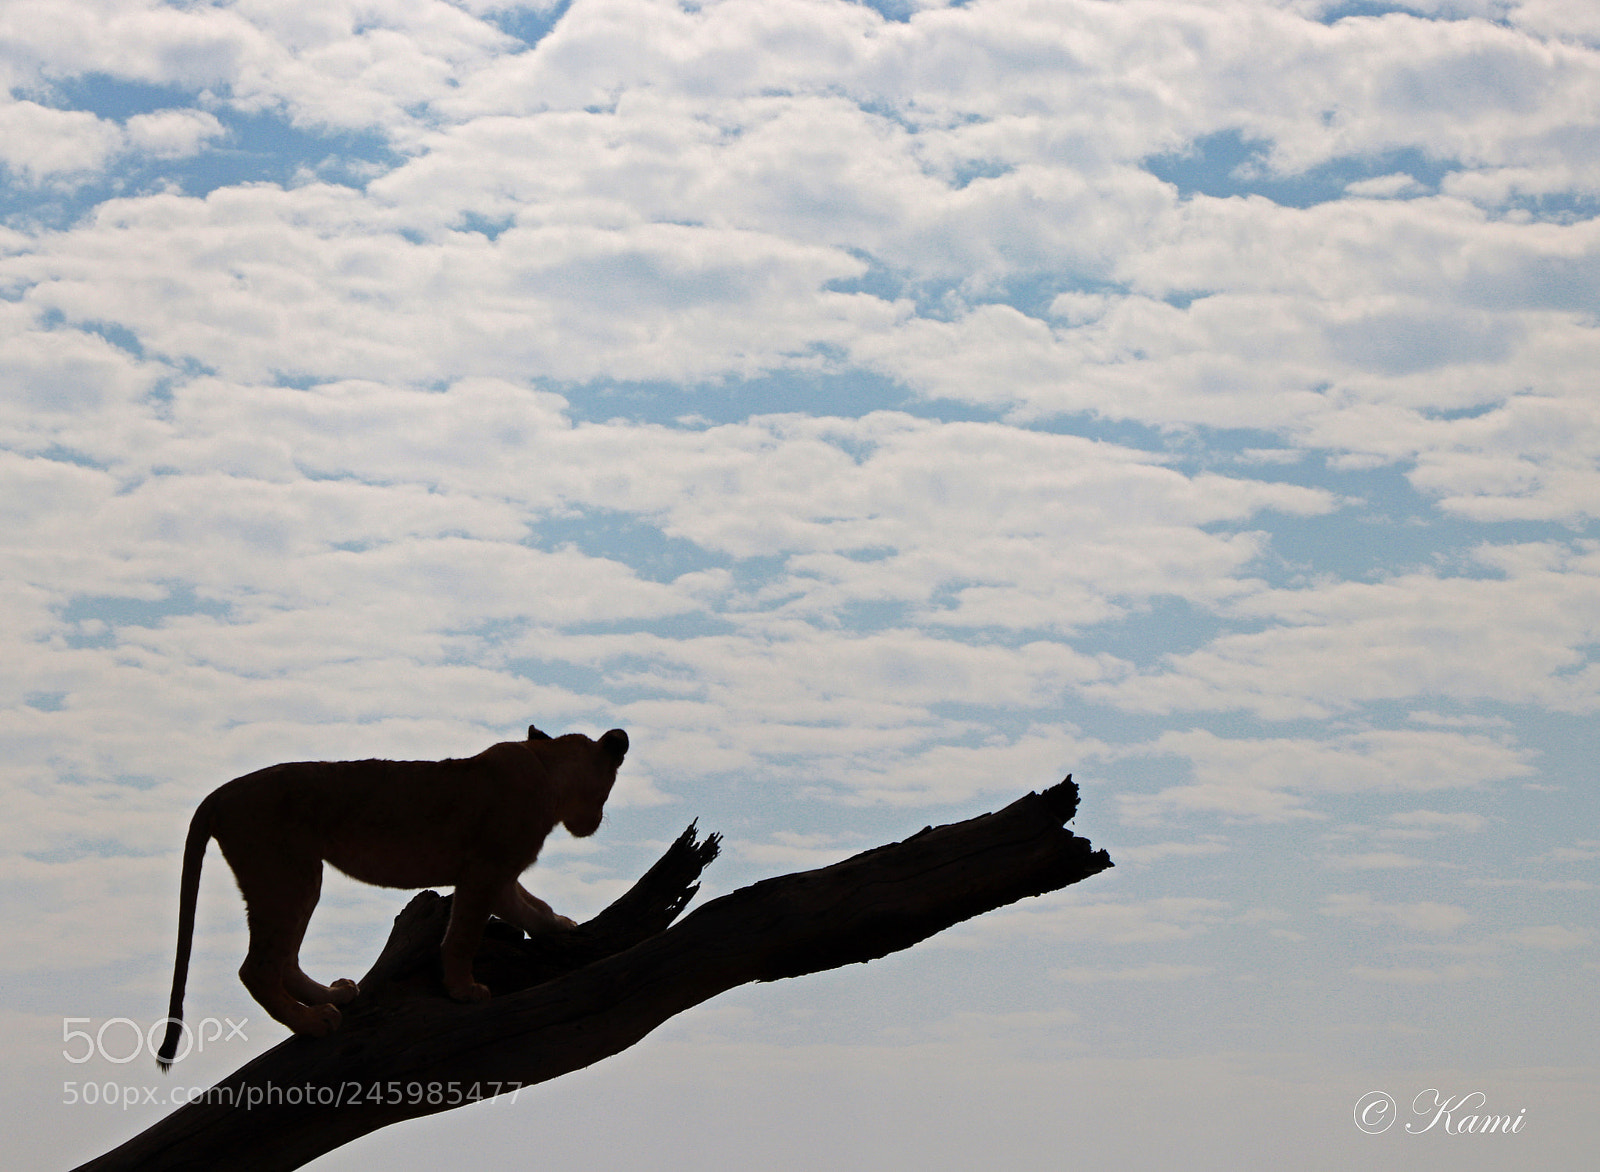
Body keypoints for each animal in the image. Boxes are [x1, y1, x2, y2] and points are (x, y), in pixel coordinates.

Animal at [155, 724, 628, 1070]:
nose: (596, 822)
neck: (548, 769)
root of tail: (220, 793)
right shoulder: (484, 870)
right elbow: (464, 934)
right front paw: (464, 990)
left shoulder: (499, 874)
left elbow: (532, 908)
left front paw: (560, 926)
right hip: (287, 873)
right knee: (257, 968)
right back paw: (313, 1022)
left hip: (295, 878)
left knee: (283, 958)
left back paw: (333, 996)